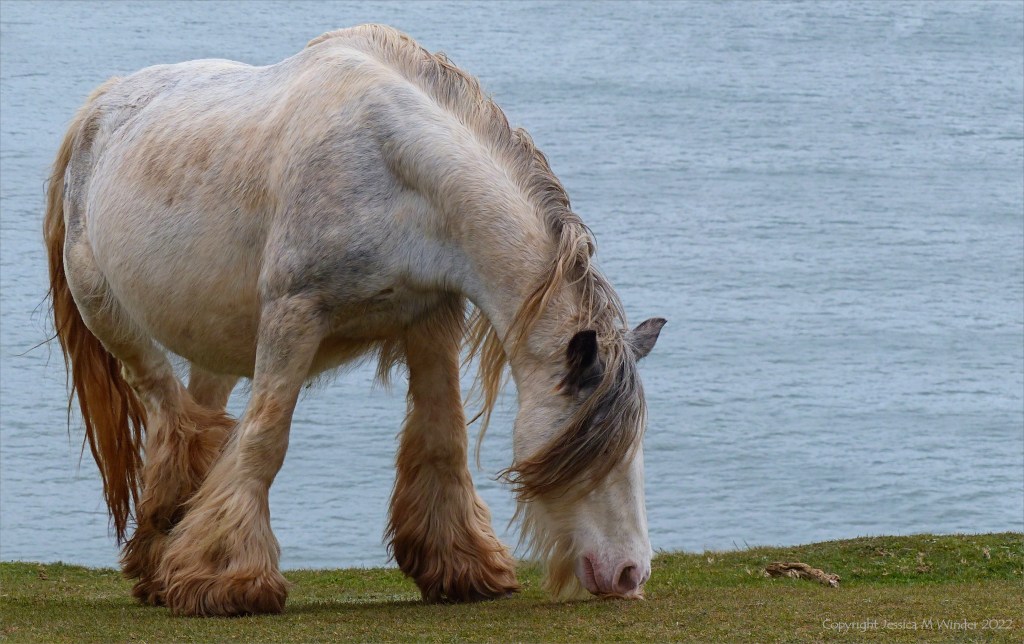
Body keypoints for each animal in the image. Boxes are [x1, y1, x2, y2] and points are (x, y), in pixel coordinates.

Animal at [45, 24, 665, 617]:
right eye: (593, 450)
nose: (631, 574)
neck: (392, 167)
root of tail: (99, 108)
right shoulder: (293, 315)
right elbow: (264, 440)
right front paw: (228, 579)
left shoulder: (430, 319)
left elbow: (442, 440)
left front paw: (462, 566)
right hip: (109, 314)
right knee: (171, 412)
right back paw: (168, 535)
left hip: (215, 345)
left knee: (200, 411)